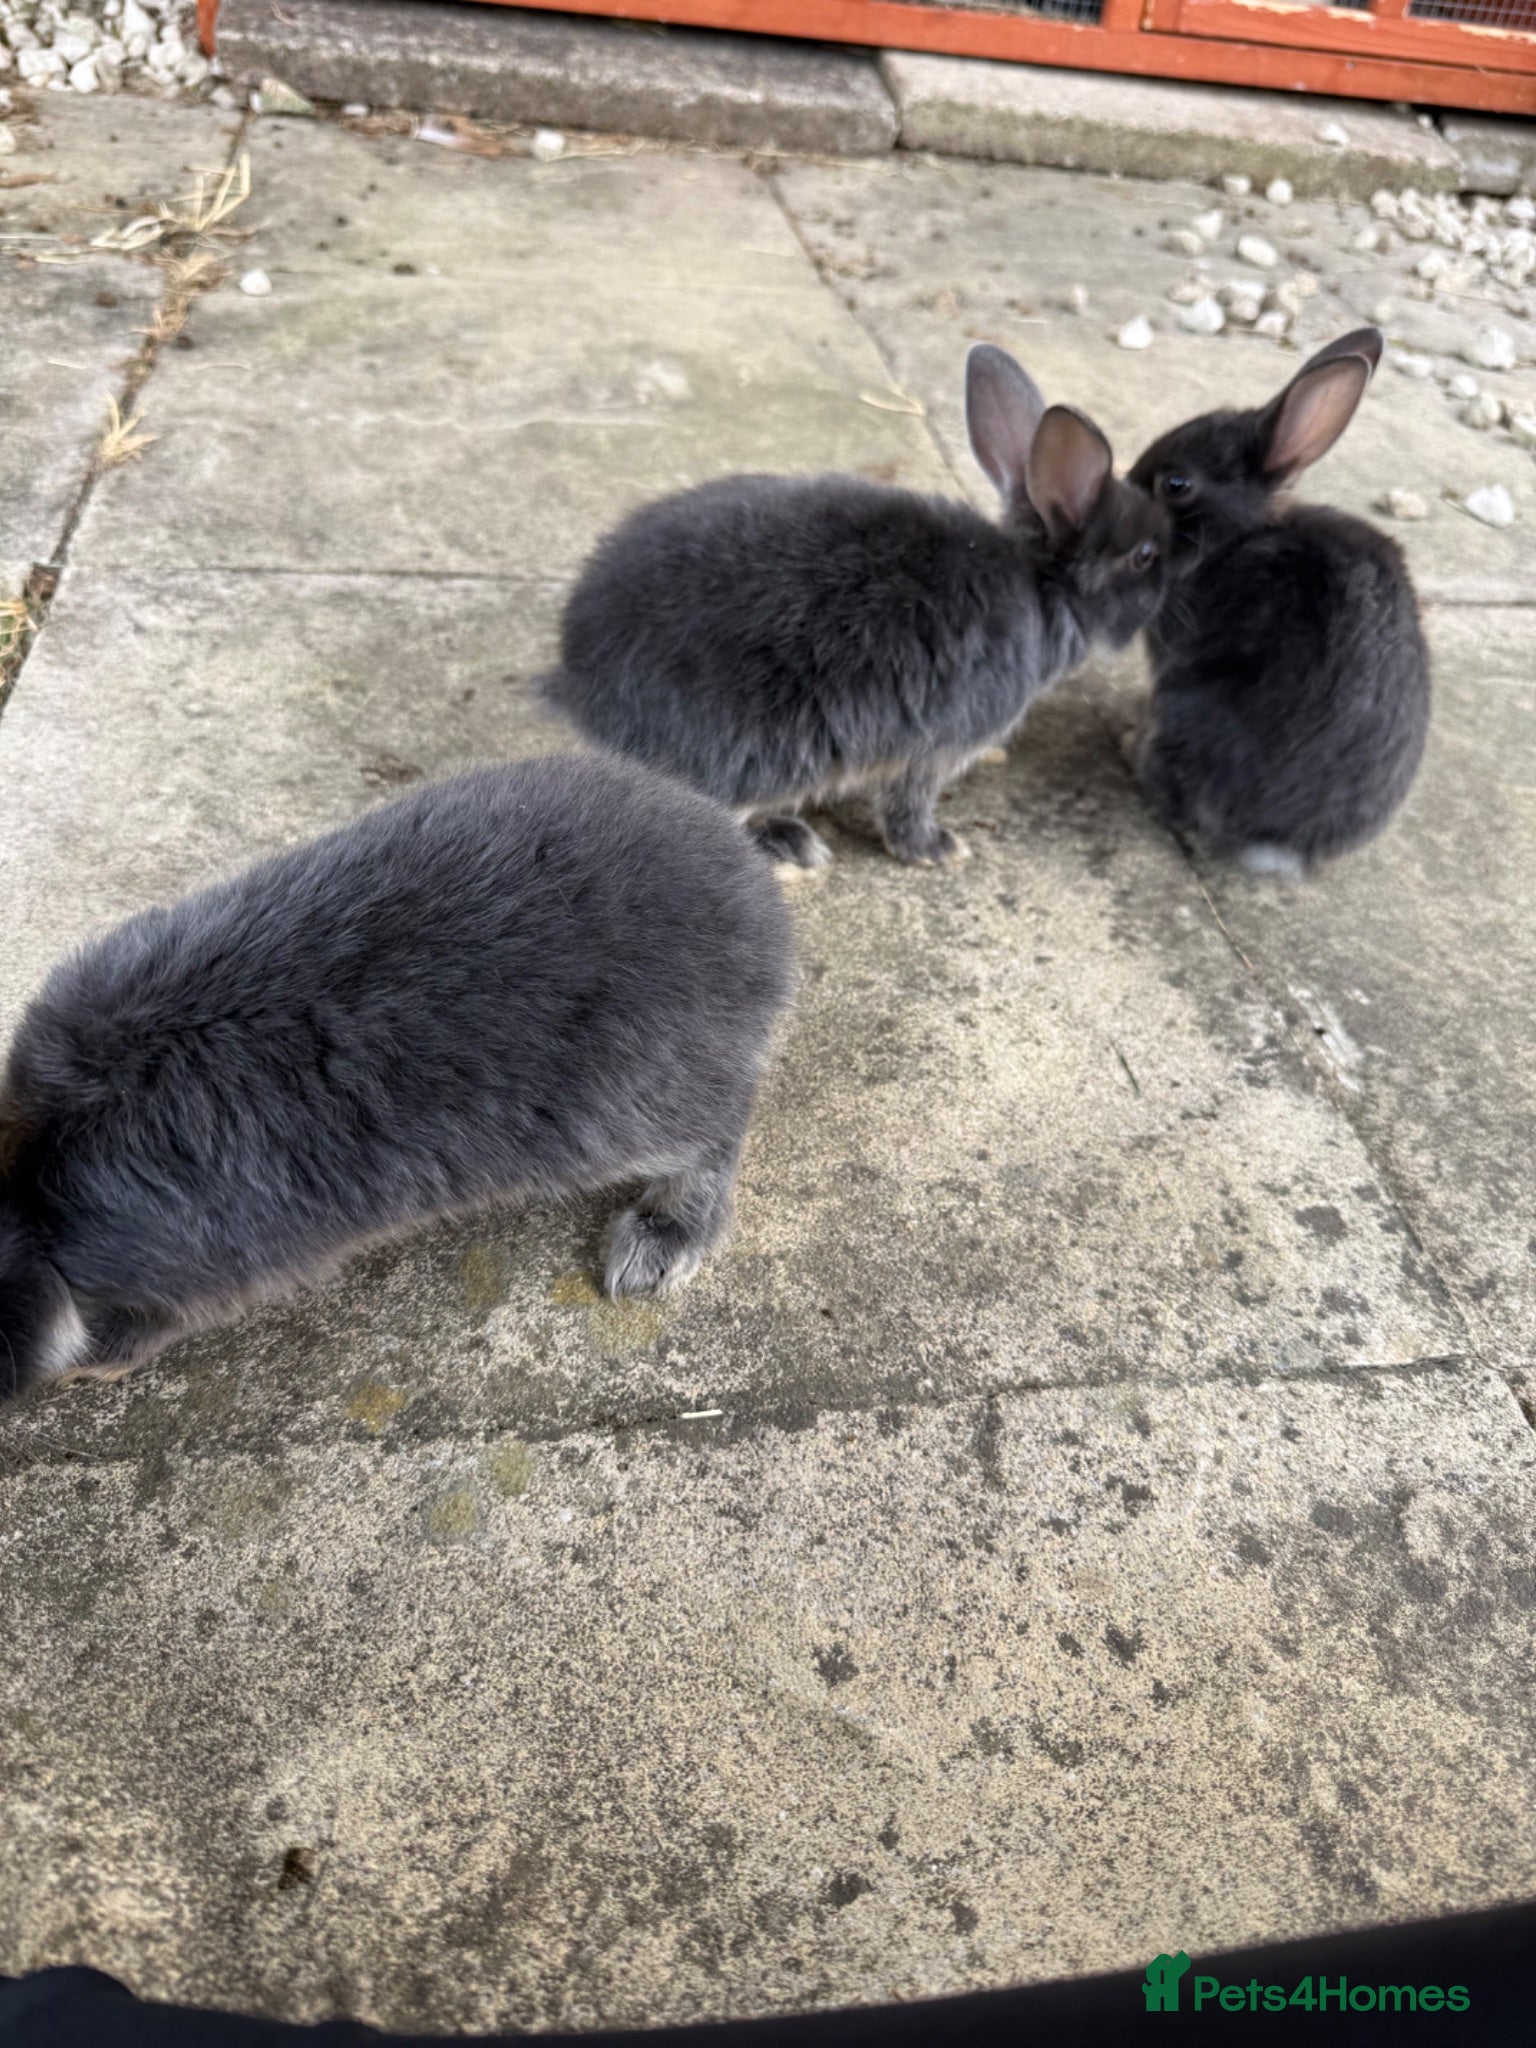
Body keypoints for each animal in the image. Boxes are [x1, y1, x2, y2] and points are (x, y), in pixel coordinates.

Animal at [0, 754, 792, 1405]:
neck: (33, 1198)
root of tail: (756, 904)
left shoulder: (182, 1282)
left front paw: (89, 1365)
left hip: (623, 1109)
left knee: (717, 1130)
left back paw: (662, 1238)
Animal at [543, 344, 1169, 871]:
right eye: (1144, 555)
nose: (1168, 591)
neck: (1042, 583)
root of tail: (579, 682)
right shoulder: (934, 747)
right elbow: (907, 804)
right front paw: (935, 850)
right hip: (760, 754)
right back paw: (789, 843)